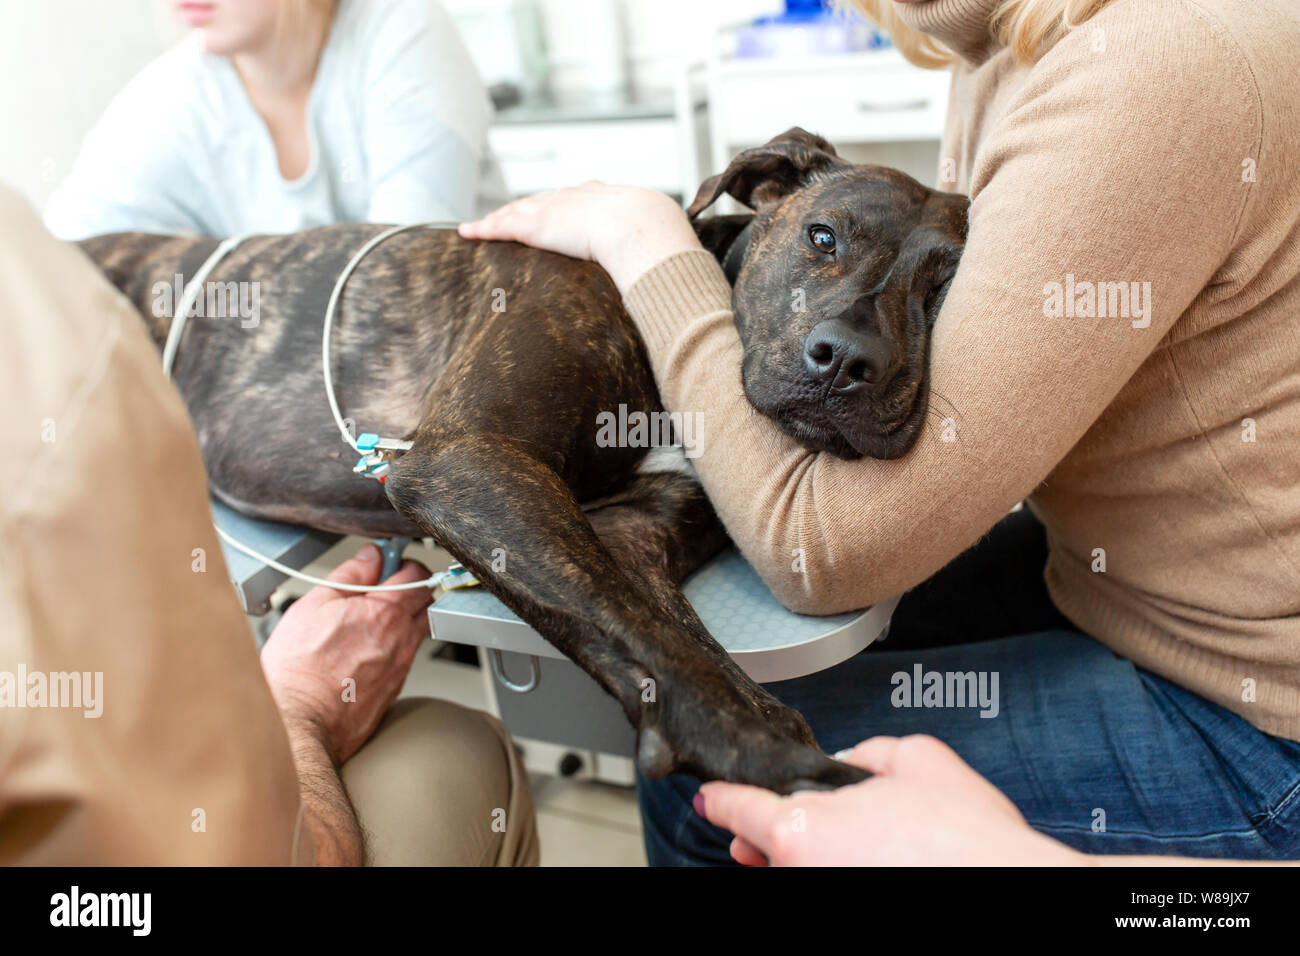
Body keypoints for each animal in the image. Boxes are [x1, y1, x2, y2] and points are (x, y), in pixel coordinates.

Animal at [73, 130, 967, 796]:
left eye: (942, 290)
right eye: (823, 236)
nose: (846, 361)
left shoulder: (627, 534)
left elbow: (660, 634)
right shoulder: (470, 460)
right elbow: (649, 633)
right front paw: (763, 749)